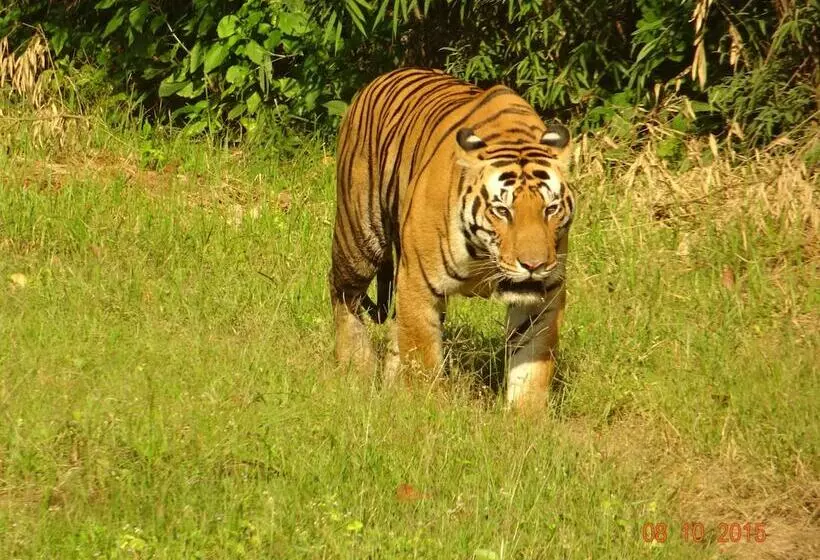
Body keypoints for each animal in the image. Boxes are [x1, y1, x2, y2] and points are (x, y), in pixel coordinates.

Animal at [329, 67, 574, 411]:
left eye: (550, 209)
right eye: (502, 210)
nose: (533, 265)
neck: (485, 258)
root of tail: (379, 79)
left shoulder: (544, 298)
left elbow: (531, 365)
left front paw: (527, 418)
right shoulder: (419, 285)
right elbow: (423, 357)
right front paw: (427, 409)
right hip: (361, 236)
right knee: (343, 293)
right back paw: (356, 366)